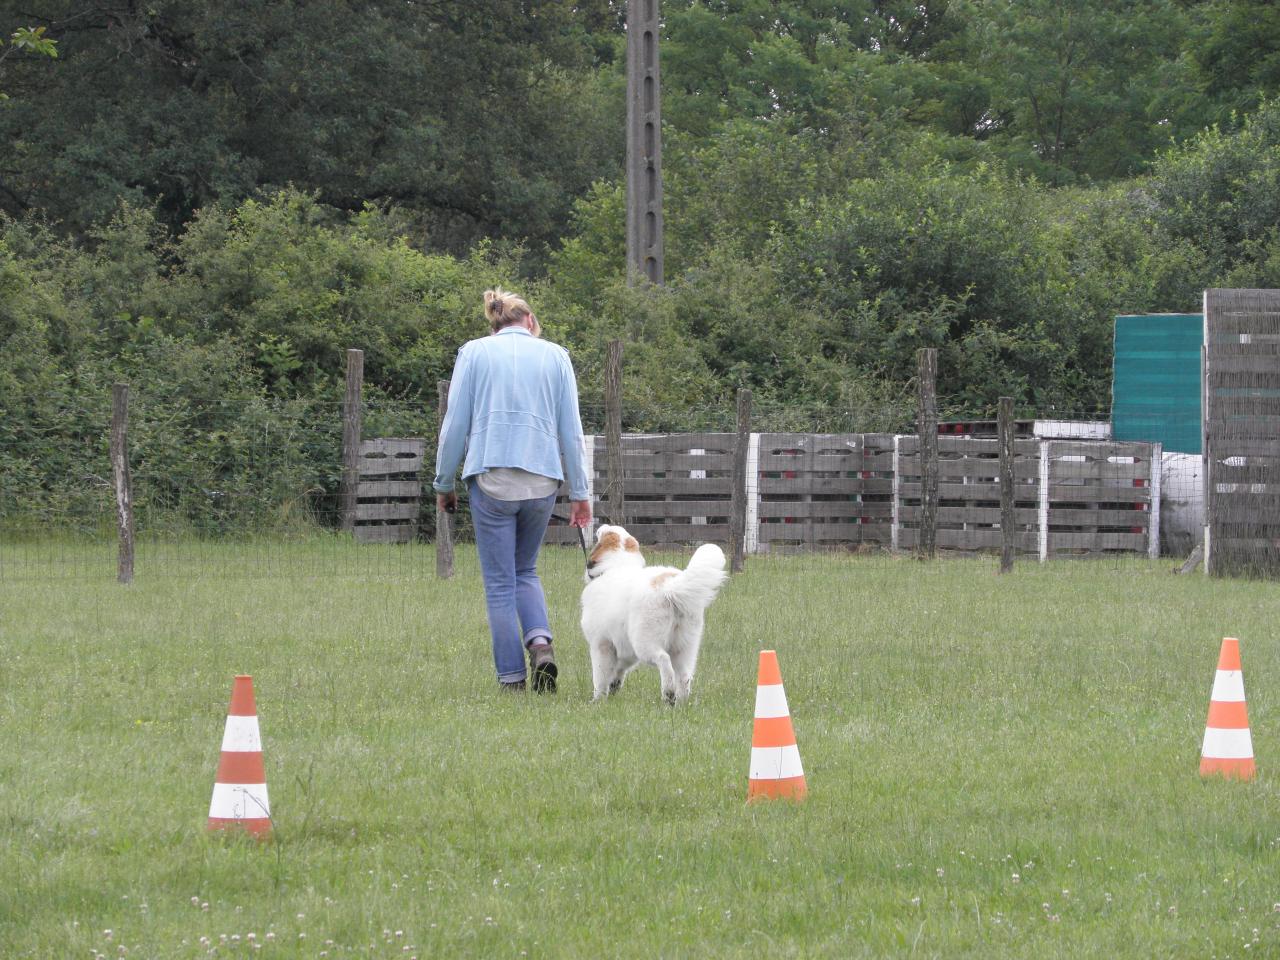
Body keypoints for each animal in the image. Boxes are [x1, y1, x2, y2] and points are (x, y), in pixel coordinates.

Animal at [578, 527, 727, 706]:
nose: (600, 528)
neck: (615, 566)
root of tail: (669, 587)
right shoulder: (625, 649)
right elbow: (618, 670)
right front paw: (614, 686)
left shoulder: (601, 645)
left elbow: (600, 677)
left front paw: (597, 700)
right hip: (685, 648)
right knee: (684, 676)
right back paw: (681, 703)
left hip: (645, 644)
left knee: (664, 661)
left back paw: (669, 693)